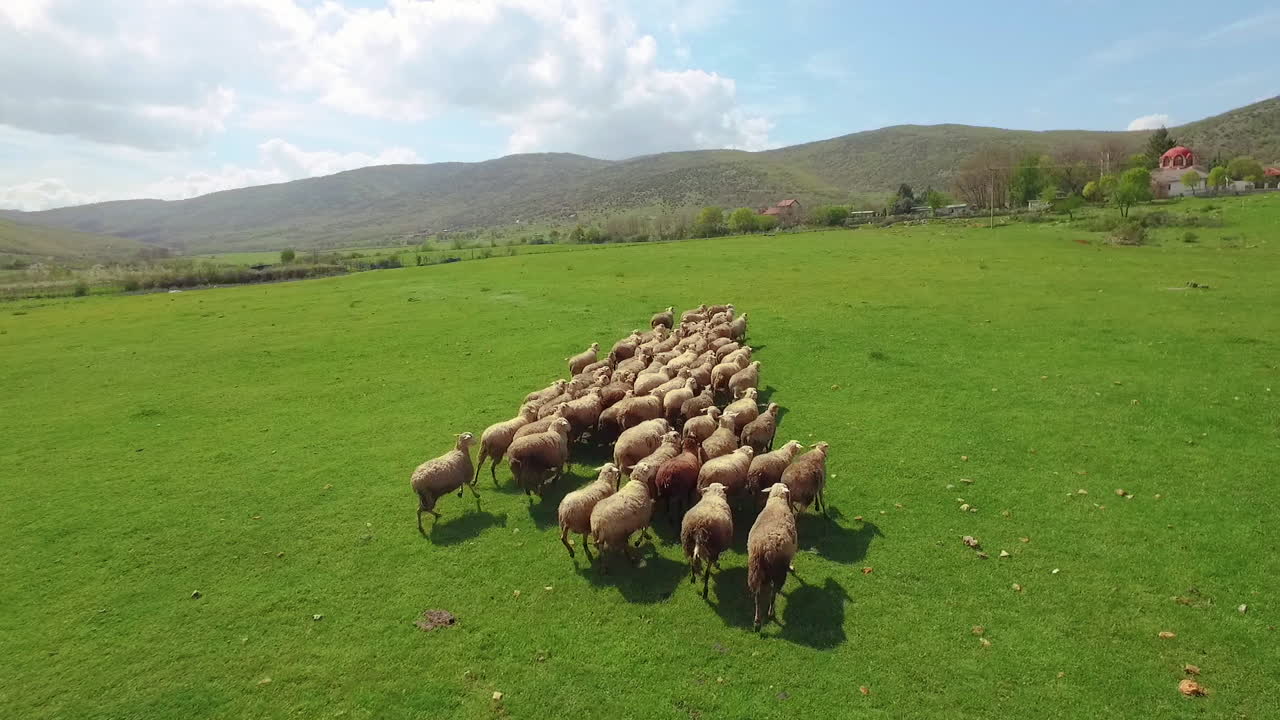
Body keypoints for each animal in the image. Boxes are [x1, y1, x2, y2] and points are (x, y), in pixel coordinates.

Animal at [748, 484, 797, 630]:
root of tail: (762, 548)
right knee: (774, 592)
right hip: (777, 571)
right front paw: (791, 567)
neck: (776, 502)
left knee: (757, 595)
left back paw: (757, 621)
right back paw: (770, 612)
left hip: (756, 570)